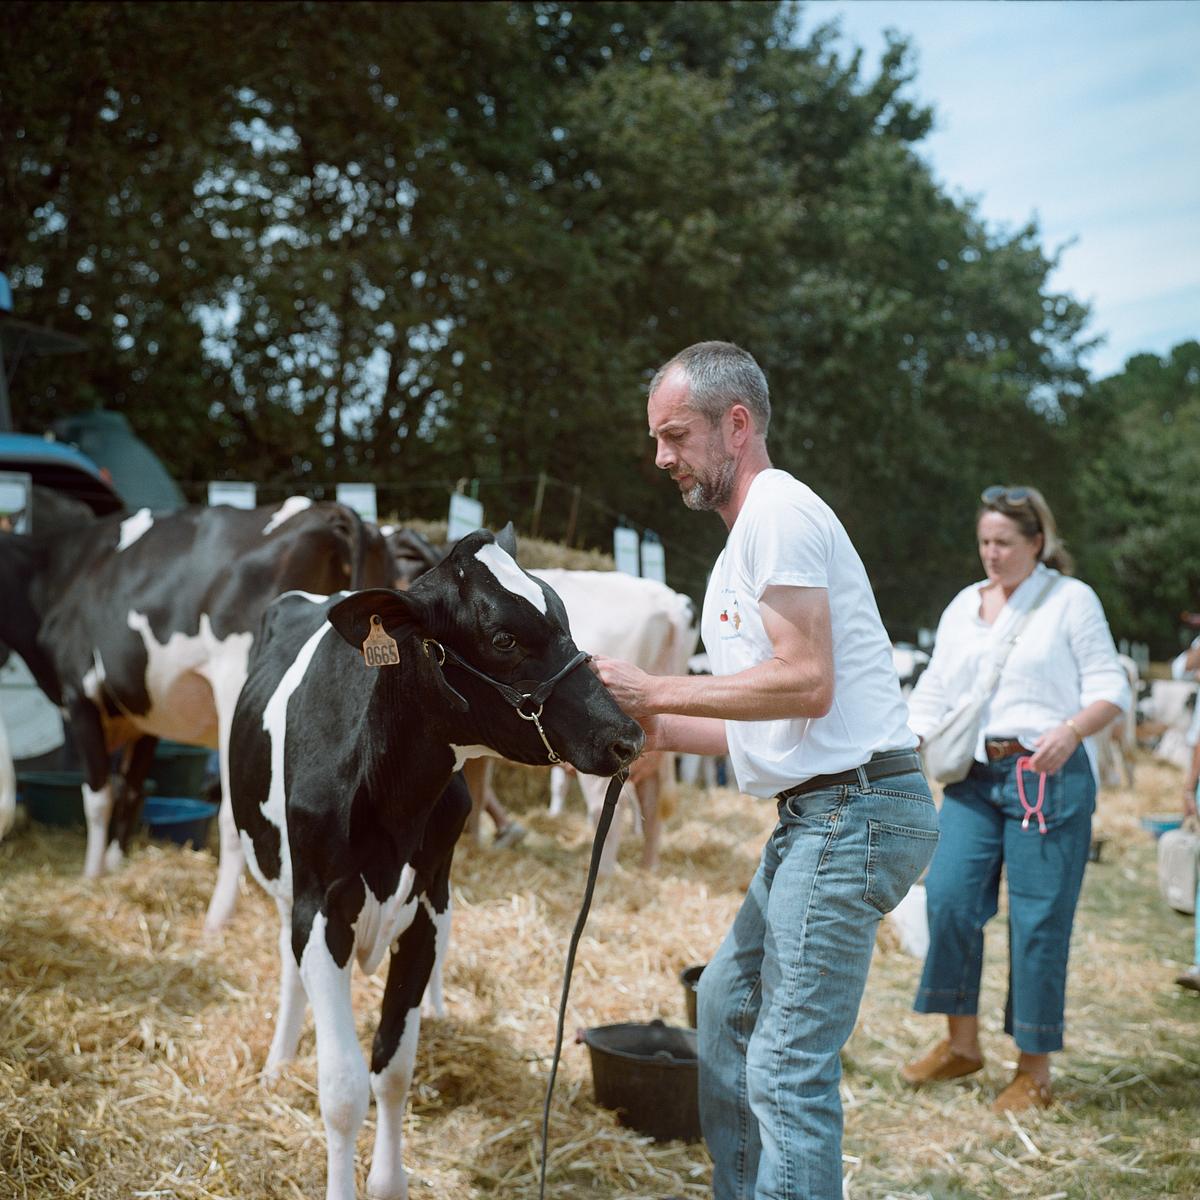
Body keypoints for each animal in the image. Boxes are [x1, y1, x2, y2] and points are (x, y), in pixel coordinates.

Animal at [0, 497, 392, 930]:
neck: (60, 572)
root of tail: (327, 511)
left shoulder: (80, 693)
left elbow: (98, 796)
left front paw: (91, 874)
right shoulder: (146, 714)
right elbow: (132, 789)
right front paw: (117, 864)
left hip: (236, 692)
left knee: (234, 815)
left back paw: (216, 918)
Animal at [228, 526, 642, 1200]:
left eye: (563, 617)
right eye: (502, 638)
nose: (626, 737)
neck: (391, 801)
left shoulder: (425, 912)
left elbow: (392, 1069)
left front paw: (388, 1183)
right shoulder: (322, 909)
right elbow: (343, 1087)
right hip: (283, 879)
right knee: (289, 970)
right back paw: (278, 1060)